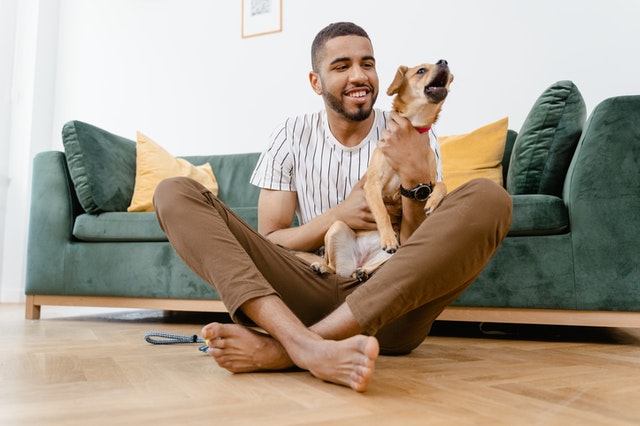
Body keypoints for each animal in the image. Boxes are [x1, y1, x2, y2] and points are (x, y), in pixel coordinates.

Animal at [302, 60, 456, 280]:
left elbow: (442, 185)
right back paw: (323, 266)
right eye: (421, 70)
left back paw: (363, 272)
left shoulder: (427, 181)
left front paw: (433, 201)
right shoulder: (373, 184)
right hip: (336, 228)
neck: (414, 127)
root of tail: (359, 260)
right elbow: (382, 212)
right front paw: (388, 239)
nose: (444, 61)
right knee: (333, 268)